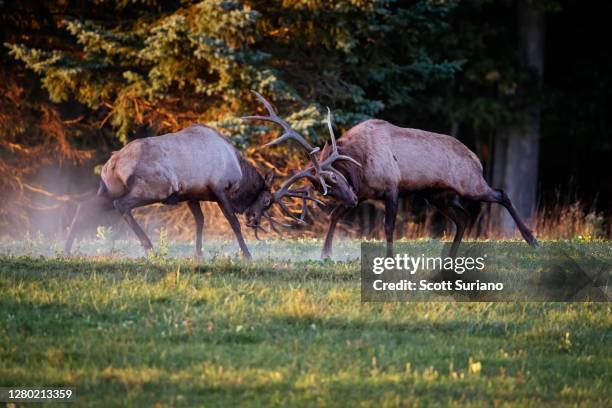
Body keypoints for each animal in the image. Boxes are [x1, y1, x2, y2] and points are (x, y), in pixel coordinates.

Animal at [62, 122, 318, 260]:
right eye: (266, 201)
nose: (254, 221)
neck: (238, 171)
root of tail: (113, 163)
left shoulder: (192, 195)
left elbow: (200, 221)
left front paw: (199, 255)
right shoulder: (218, 187)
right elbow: (232, 223)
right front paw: (247, 255)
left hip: (107, 190)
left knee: (83, 207)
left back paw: (66, 250)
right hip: (154, 188)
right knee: (122, 206)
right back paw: (150, 247)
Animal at [308, 119, 536, 256]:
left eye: (334, 178)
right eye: (324, 189)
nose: (351, 200)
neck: (360, 164)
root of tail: (477, 159)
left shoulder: (392, 187)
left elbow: (388, 226)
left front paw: (390, 258)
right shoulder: (363, 193)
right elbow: (335, 215)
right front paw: (325, 253)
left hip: (471, 185)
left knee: (501, 194)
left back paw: (531, 238)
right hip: (440, 197)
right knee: (463, 217)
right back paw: (451, 256)